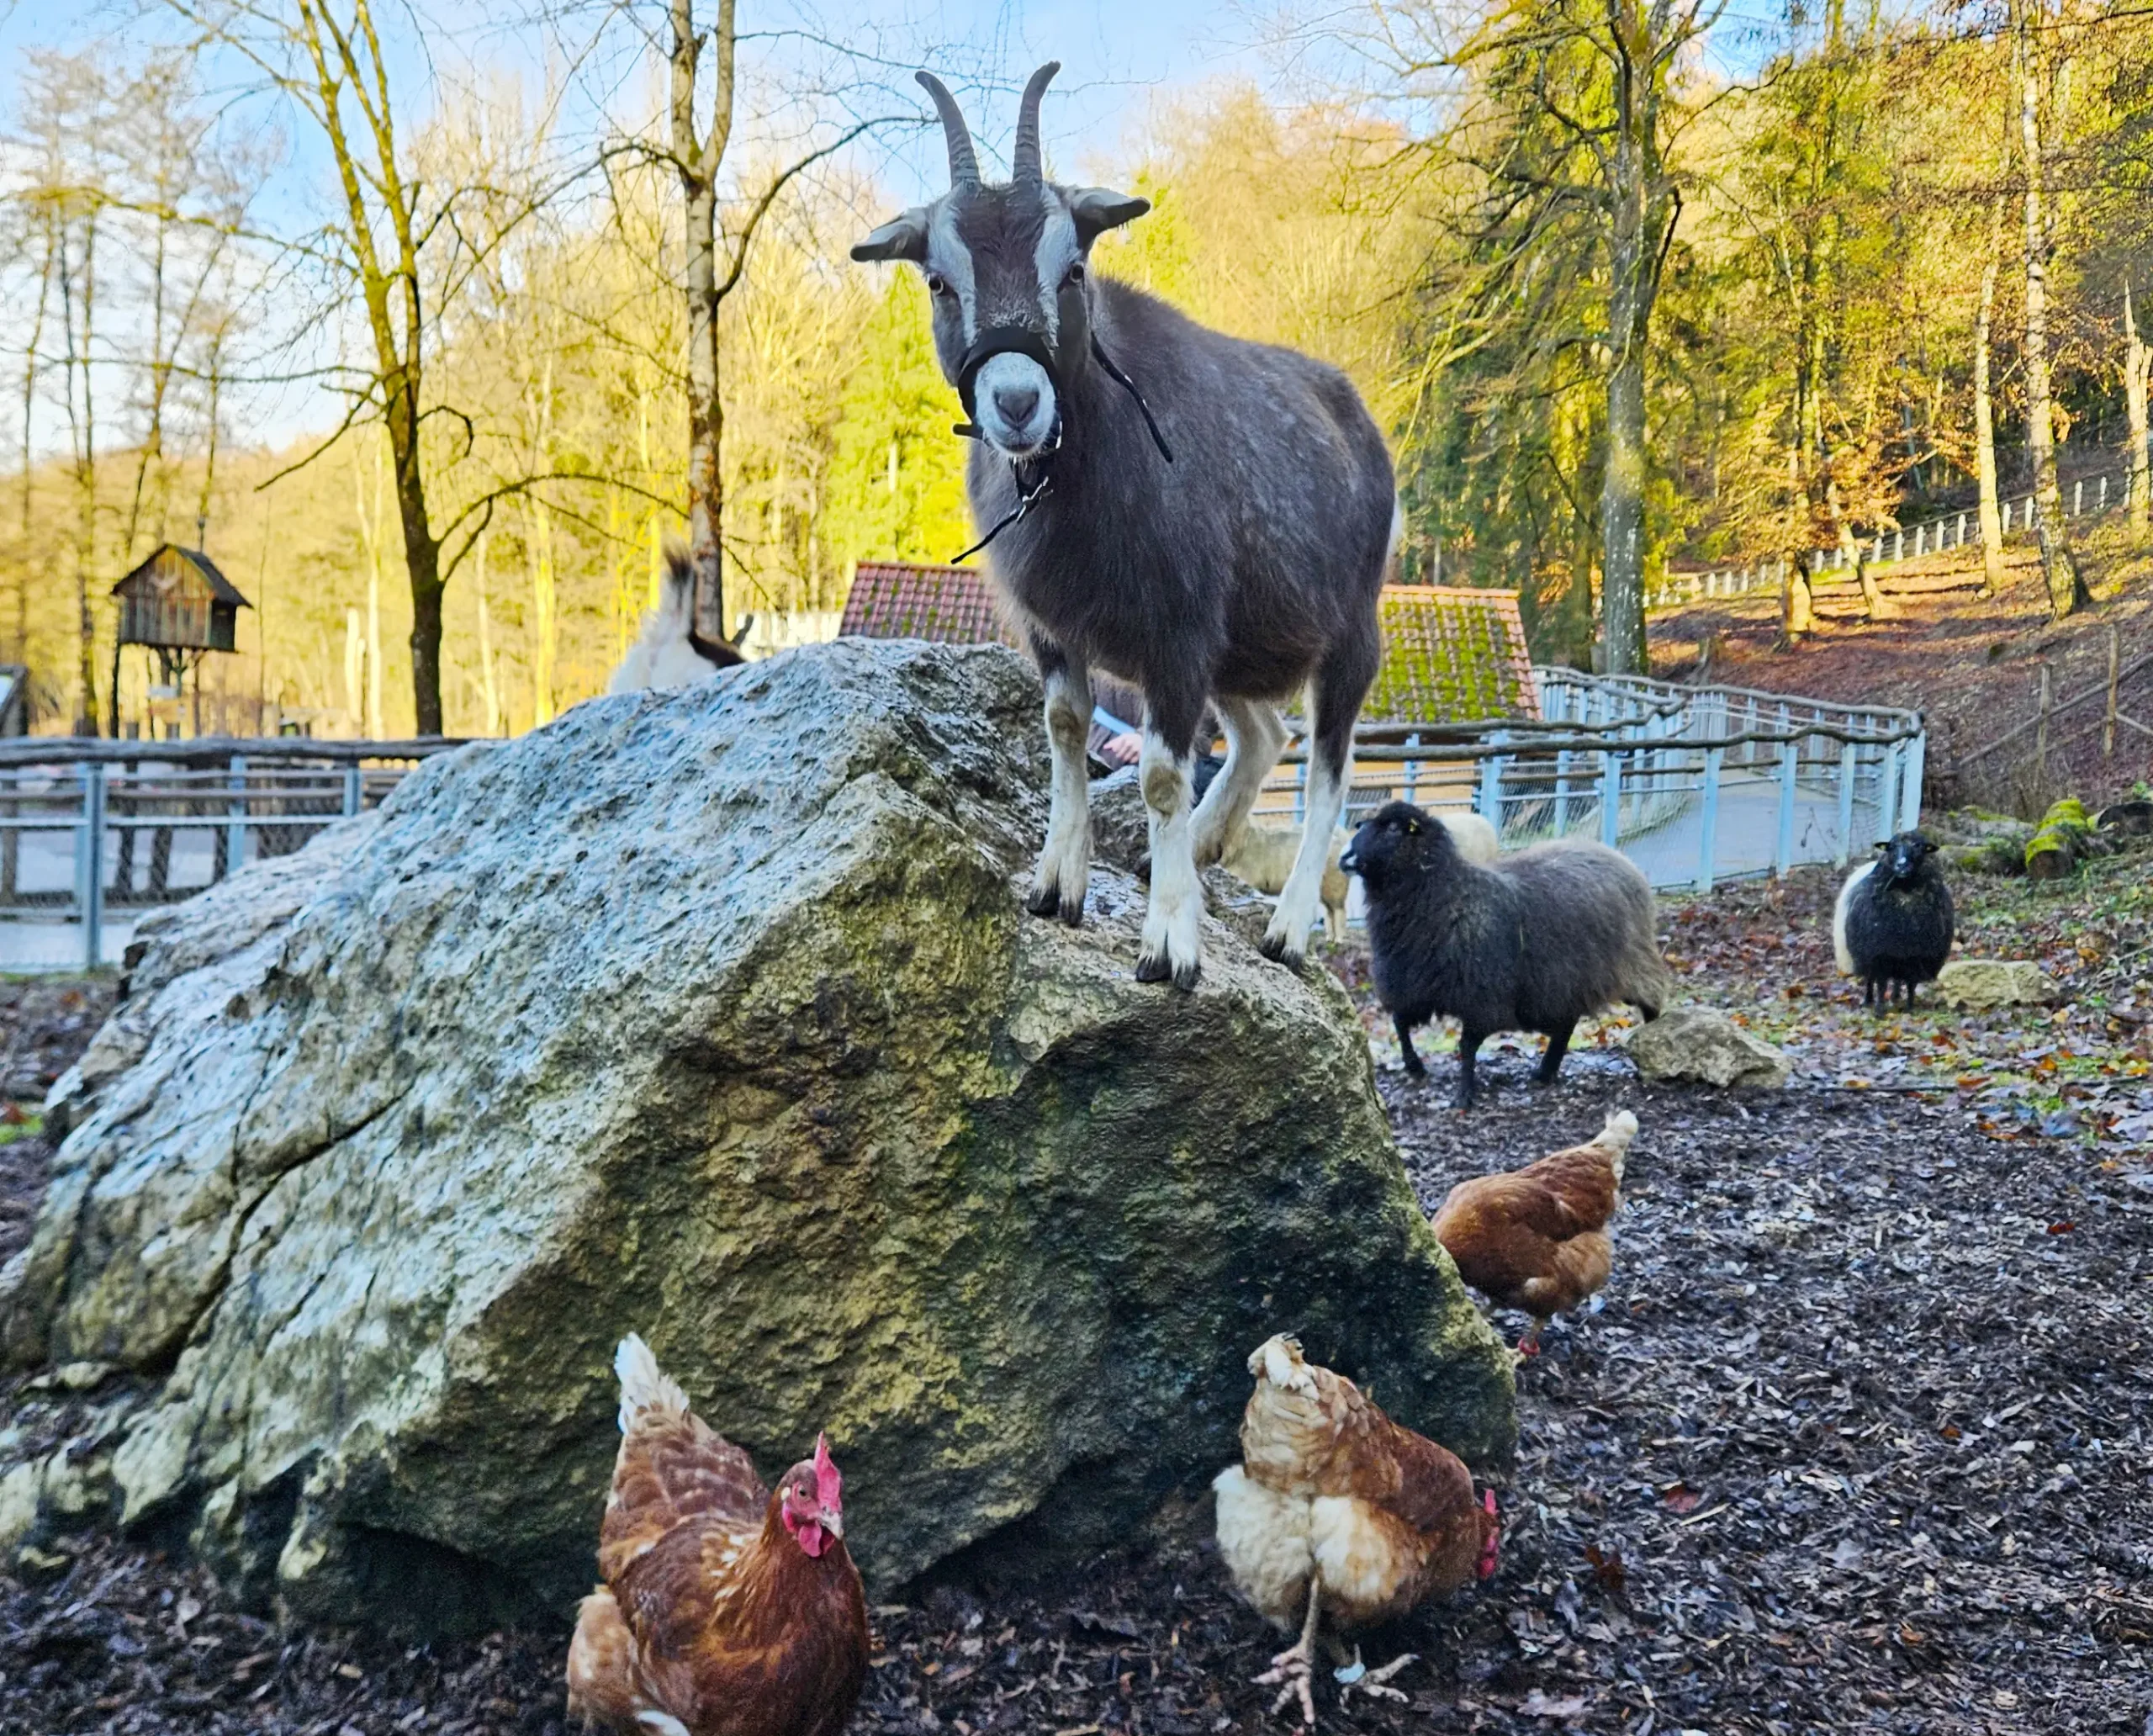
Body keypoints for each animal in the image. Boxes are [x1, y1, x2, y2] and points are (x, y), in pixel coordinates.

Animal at [852, 65, 1396, 990]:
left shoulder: (1176, 633)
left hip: (1348, 632)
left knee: (1330, 766)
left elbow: (1161, 779)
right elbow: (1066, 730)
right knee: (1265, 733)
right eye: (939, 282)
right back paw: (1200, 848)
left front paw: (1169, 945)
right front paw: (1055, 885)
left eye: (1073, 269)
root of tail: (1355, 416)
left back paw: (1284, 929)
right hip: (1240, 644)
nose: (1017, 402)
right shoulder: (1056, 628)